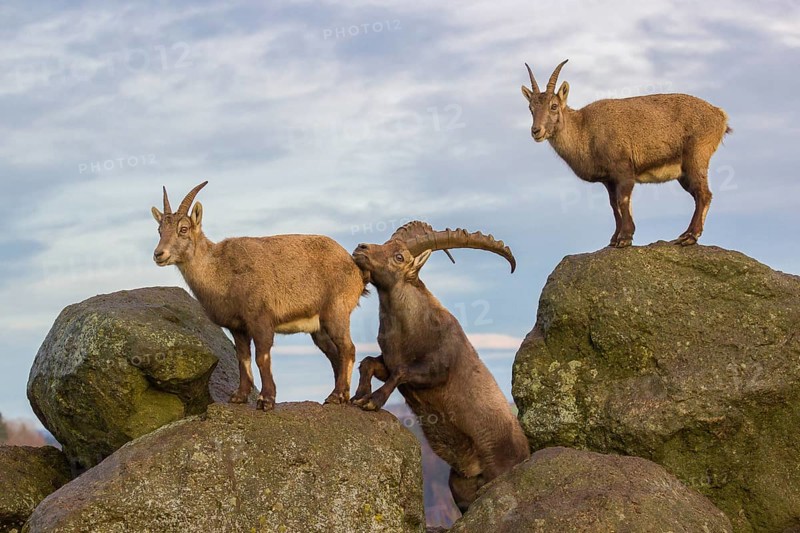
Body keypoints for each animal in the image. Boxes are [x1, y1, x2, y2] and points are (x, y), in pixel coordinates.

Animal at [151, 181, 367, 411]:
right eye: (160, 230)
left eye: (183, 229)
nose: (159, 254)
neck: (220, 269)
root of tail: (356, 269)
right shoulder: (238, 326)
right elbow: (242, 358)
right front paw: (239, 396)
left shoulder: (260, 319)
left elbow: (262, 357)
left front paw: (266, 400)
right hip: (318, 327)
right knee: (334, 354)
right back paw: (340, 395)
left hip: (336, 311)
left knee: (348, 349)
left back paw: (337, 395)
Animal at [350, 221, 530, 513]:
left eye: (399, 256)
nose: (361, 247)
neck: (411, 329)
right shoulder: (390, 361)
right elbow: (369, 363)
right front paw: (359, 395)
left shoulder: (437, 369)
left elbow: (401, 373)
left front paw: (373, 401)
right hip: (458, 486)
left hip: (498, 469)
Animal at [521, 59, 731, 247]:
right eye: (531, 108)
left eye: (554, 106)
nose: (536, 131)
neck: (584, 129)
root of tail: (720, 115)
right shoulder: (609, 179)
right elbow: (614, 206)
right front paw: (614, 239)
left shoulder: (623, 169)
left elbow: (623, 201)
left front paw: (625, 238)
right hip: (684, 173)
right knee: (698, 194)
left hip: (696, 157)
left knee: (704, 194)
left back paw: (689, 236)